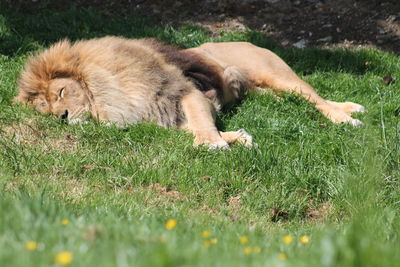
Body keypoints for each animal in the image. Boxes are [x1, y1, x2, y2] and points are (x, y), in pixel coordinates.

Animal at [14, 36, 366, 149]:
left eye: (61, 92)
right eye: (44, 109)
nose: (62, 116)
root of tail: (249, 40)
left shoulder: (185, 93)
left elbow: (201, 123)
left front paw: (214, 144)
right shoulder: (162, 113)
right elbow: (197, 127)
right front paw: (236, 138)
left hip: (279, 75)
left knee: (315, 98)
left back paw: (346, 118)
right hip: (266, 91)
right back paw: (352, 107)